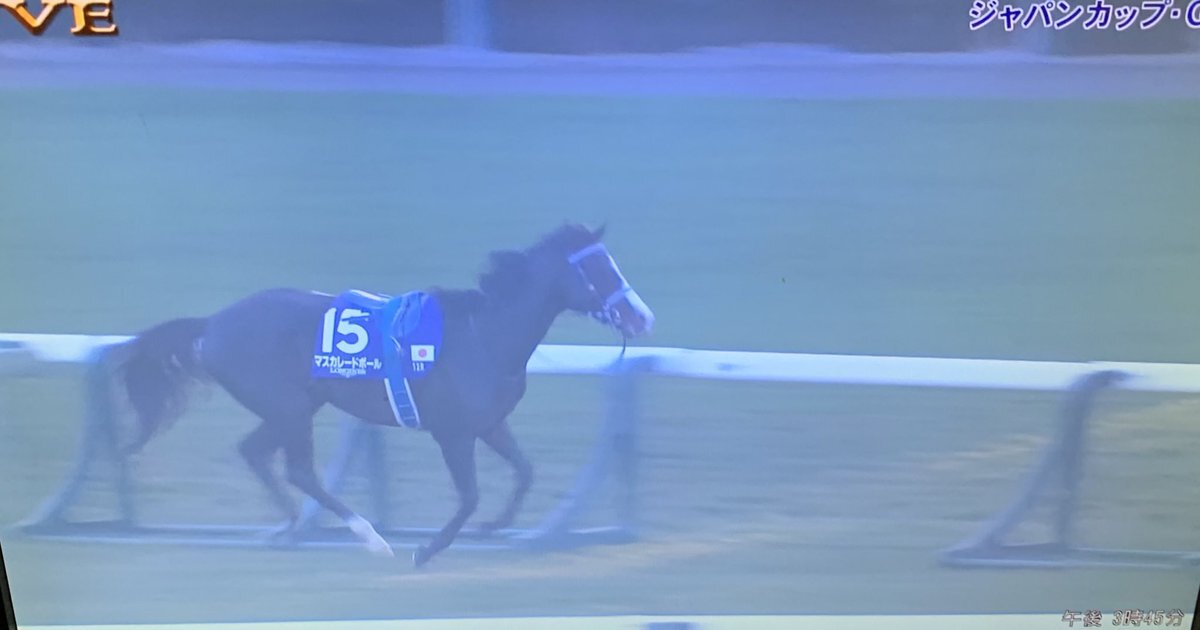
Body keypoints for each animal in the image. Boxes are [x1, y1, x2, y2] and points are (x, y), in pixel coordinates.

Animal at [113, 223, 655, 566]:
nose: (642, 316)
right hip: (290, 408)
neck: (485, 336)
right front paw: (428, 549)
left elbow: (524, 473)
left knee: (256, 452)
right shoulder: (452, 433)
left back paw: (289, 525)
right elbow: (470, 497)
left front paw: (496, 526)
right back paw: (366, 536)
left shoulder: (490, 424)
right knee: (299, 471)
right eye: (599, 271)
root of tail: (213, 324)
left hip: (294, 406)